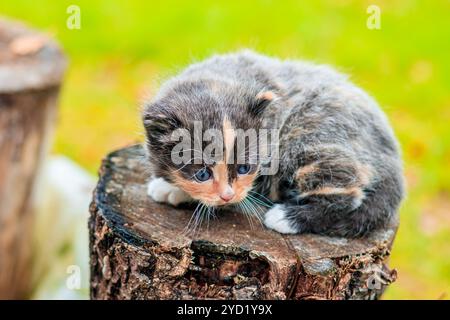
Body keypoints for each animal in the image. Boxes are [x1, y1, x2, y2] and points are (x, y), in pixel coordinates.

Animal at [143, 49, 404, 235]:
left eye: (244, 168)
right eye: (202, 174)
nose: (228, 195)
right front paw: (171, 187)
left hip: (309, 139)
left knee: (349, 189)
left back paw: (286, 218)